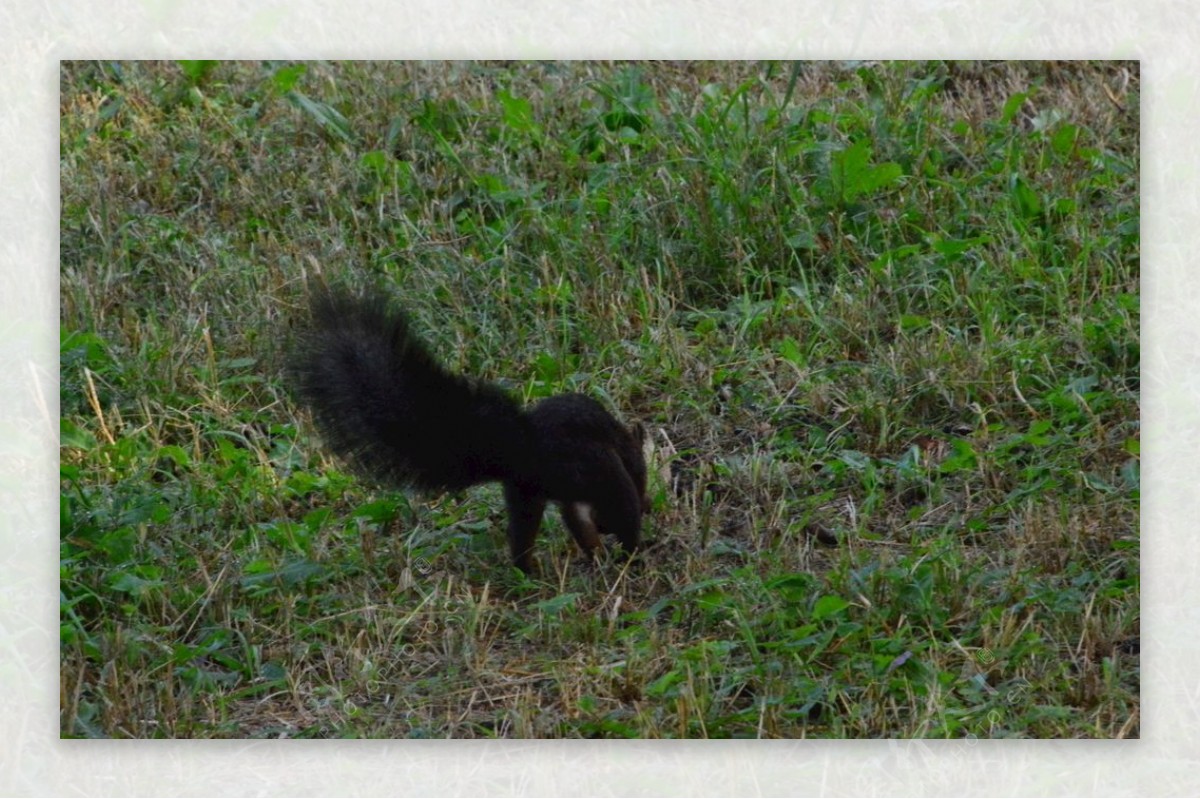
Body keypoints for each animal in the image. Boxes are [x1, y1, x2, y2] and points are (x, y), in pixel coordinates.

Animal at [286, 286, 648, 573]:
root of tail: (527, 446)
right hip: (595, 471)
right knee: (622, 510)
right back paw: (630, 554)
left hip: (525, 493)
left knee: (531, 531)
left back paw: (535, 570)